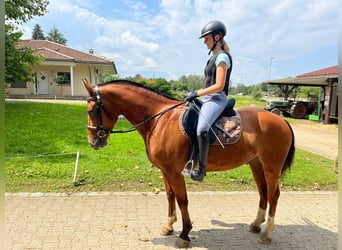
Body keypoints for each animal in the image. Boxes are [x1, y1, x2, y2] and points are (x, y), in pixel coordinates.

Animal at [83, 79, 294, 247]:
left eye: (92, 110)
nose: (93, 142)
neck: (159, 119)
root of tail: (281, 120)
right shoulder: (165, 170)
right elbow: (170, 196)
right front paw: (168, 225)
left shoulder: (175, 172)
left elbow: (182, 200)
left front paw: (184, 234)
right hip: (256, 164)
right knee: (263, 193)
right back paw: (256, 225)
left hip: (272, 167)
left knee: (274, 195)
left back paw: (267, 234)